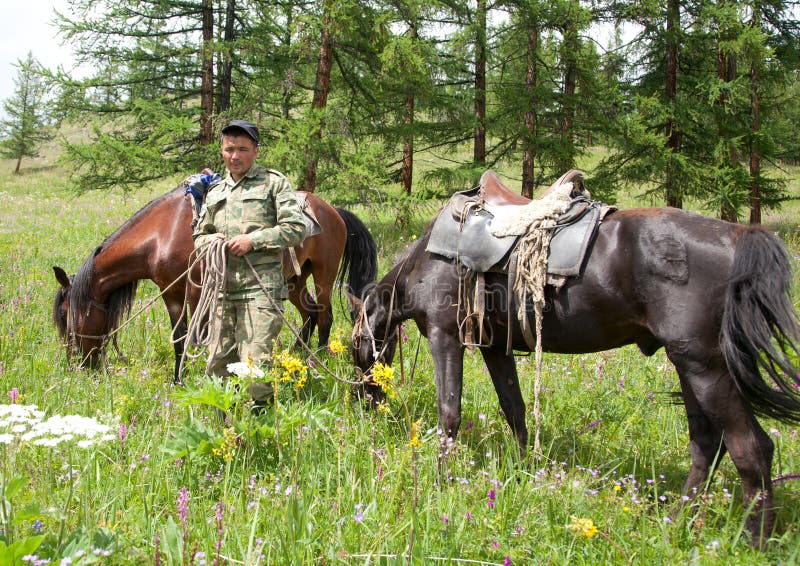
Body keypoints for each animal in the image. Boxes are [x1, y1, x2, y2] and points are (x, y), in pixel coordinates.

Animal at [53, 175, 378, 384]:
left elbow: (190, 336)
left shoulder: (192, 292)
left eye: (66, 315)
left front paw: (188, 377)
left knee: (324, 316)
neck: (159, 234)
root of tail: (334, 211)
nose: (76, 365)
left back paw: (316, 360)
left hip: (324, 275)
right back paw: (296, 353)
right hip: (295, 279)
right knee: (309, 312)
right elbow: (186, 337)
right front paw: (185, 376)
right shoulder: (176, 293)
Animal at [354, 184, 800, 548]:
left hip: (705, 368)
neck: (427, 256)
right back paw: (674, 522)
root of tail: (739, 236)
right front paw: (522, 473)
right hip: (689, 364)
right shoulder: (496, 347)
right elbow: (515, 410)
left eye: (358, 344)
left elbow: (449, 414)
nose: (363, 403)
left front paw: (441, 481)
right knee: (707, 444)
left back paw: (754, 542)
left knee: (751, 449)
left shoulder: (445, 336)